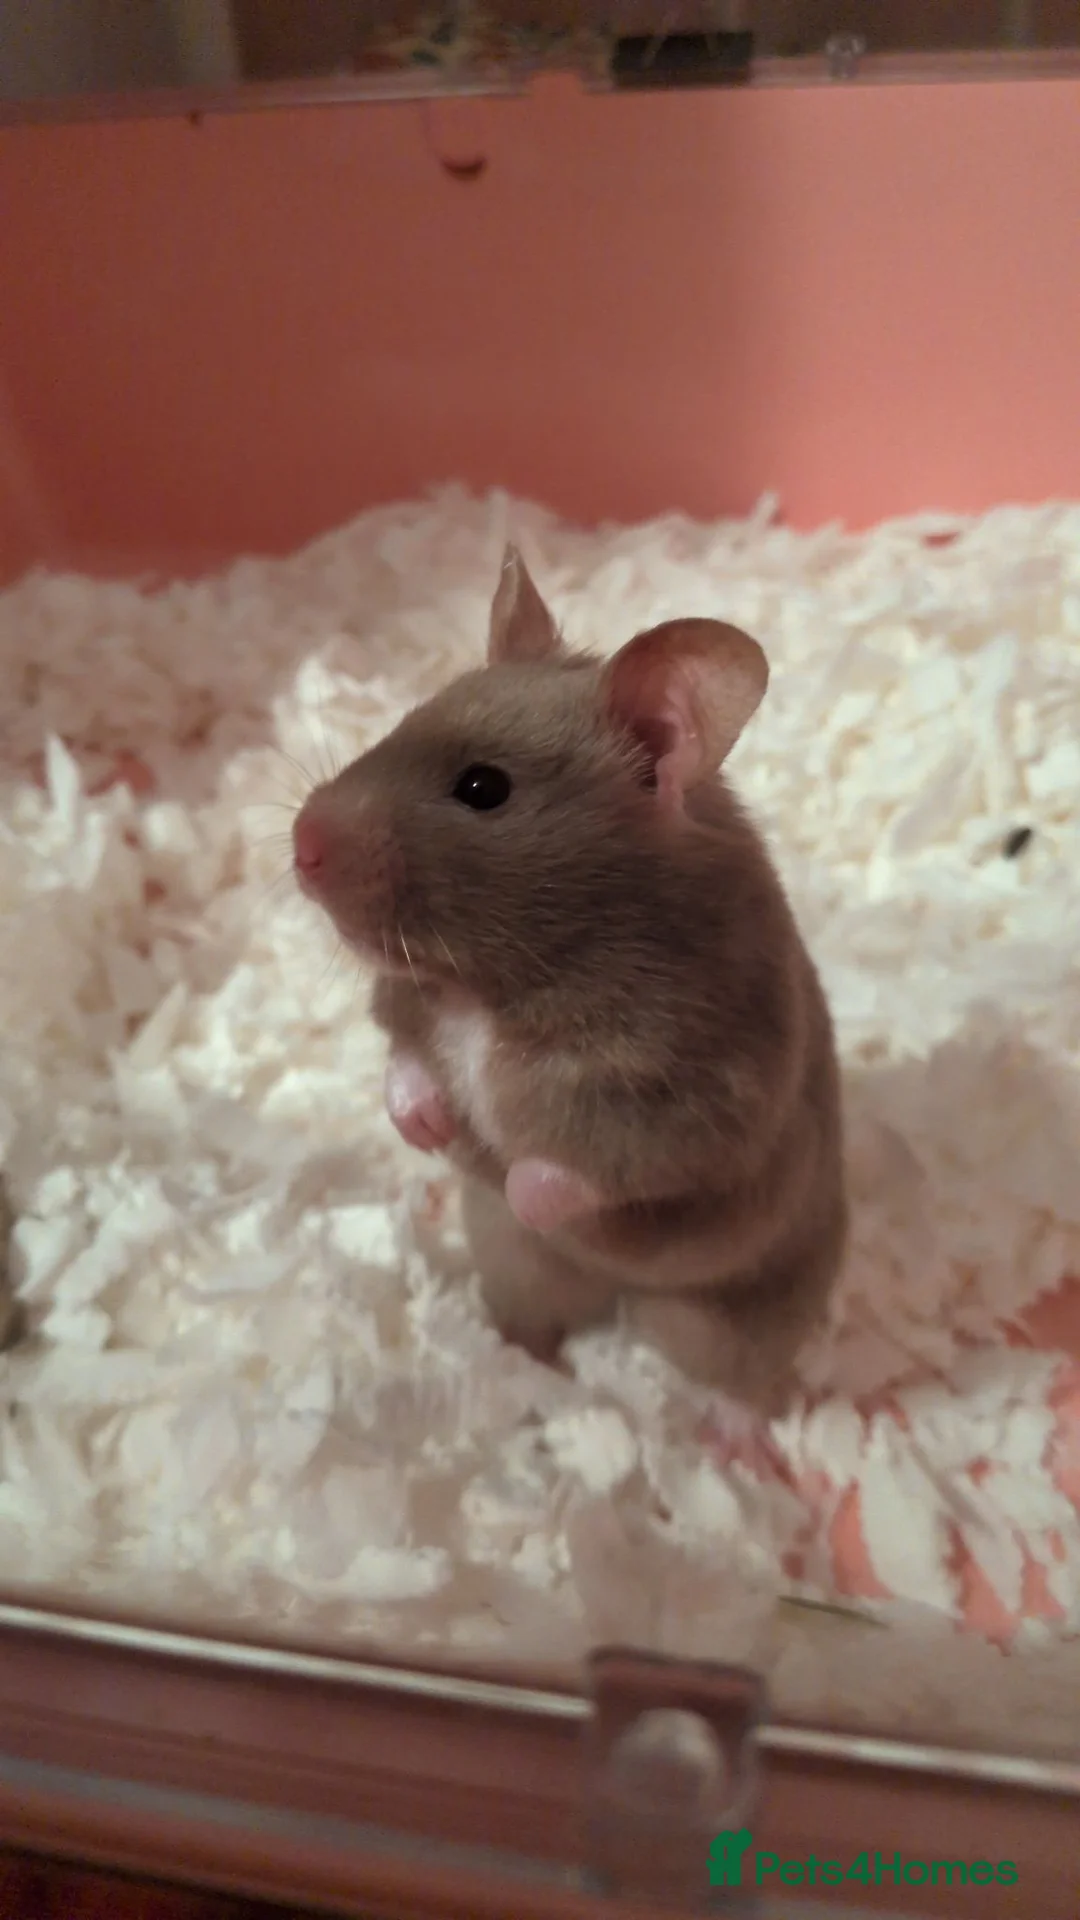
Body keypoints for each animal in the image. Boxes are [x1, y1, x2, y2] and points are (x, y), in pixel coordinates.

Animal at [293, 547, 846, 1429]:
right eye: (404, 721)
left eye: (483, 788)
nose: (300, 844)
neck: (492, 986)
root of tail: (617, 1299)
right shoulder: (411, 1006)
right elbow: (402, 1061)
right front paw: (426, 1127)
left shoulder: (696, 1102)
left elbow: (589, 1167)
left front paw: (513, 1177)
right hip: (519, 1270)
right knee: (533, 1315)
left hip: (728, 1318)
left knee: (736, 1381)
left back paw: (737, 1438)